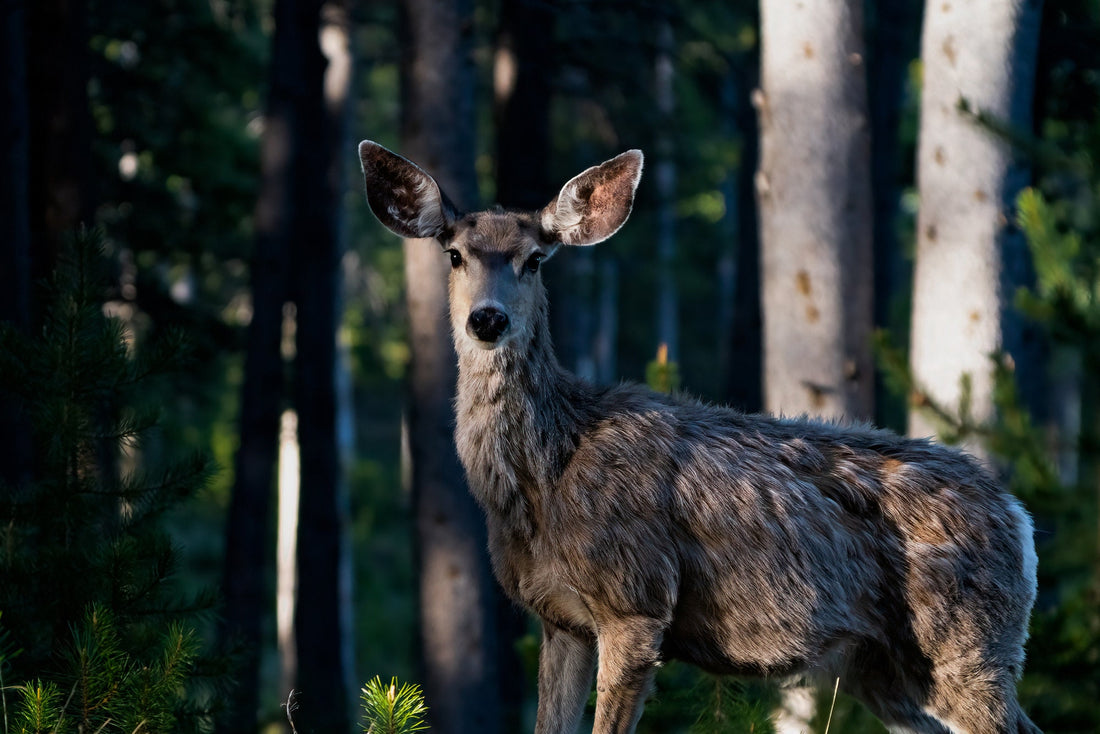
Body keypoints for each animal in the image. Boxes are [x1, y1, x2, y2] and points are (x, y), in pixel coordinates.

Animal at [358, 140, 1042, 734]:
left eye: (534, 258)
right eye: (454, 253)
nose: (487, 319)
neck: (542, 478)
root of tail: (1019, 515)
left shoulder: (637, 601)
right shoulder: (560, 621)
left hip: (968, 643)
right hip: (886, 669)